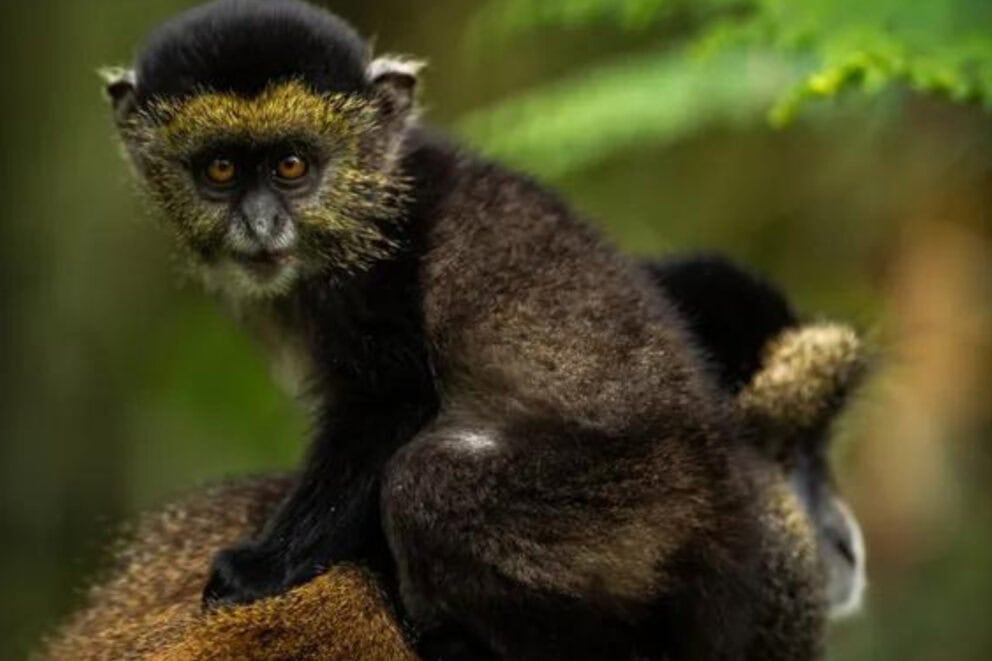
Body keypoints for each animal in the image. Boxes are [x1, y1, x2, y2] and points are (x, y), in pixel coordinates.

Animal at [100, 1, 864, 657]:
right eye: (220, 169)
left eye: (292, 166)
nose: (260, 226)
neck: (374, 185)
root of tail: (725, 507)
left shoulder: (381, 276)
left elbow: (392, 405)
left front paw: (259, 569)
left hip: (634, 506)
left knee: (426, 482)